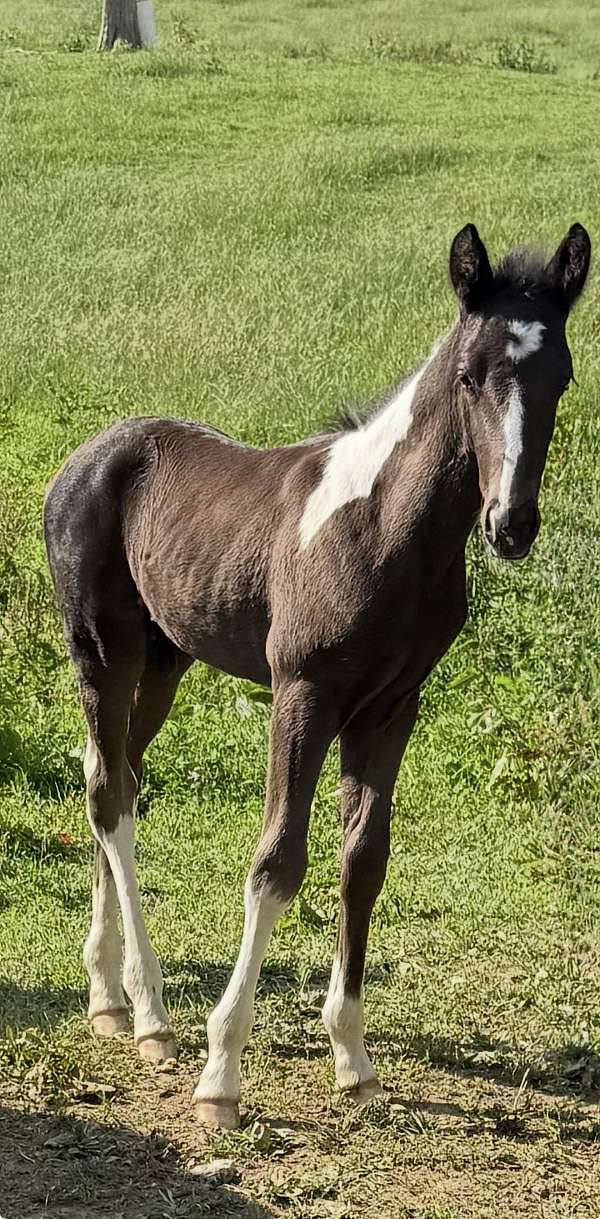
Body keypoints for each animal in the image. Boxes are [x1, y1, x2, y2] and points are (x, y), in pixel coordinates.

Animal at [43, 222, 591, 1129]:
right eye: (470, 374)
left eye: (564, 375)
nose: (510, 523)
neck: (384, 529)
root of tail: (84, 456)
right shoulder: (303, 694)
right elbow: (277, 862)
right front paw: (222, 1074)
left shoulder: (392, 707)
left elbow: (363, 861)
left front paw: (354, 1059)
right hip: (102, 651)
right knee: (110, 795)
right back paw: (154, 1015)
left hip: (163, 663)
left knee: (111, 774)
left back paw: (111, 999)